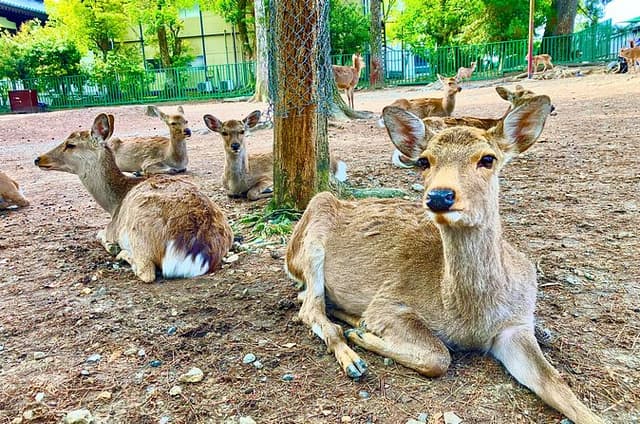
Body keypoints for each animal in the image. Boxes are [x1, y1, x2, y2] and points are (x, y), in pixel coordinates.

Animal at [34, 113, 233, 283]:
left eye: (70, 144)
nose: (38, 159)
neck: (114, 204)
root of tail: (198, 254)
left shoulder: (111, 228)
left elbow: (98, 233)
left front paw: (111, 246)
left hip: (139, 234)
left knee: (147, 272)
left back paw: (121, 253)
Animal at [204, 110, 348, 201]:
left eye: (242, 131)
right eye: (224, 132)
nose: (235, 145)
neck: (237, 183)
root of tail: (333, 160)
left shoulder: (268, 176)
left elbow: (251, 194)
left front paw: (270, 191)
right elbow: (230, 194)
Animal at [285, 96, 604, 424]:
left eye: (488, 159)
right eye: (424, 161)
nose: (440, 196)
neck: (472, 317)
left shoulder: (515, 326)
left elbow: (557, 384)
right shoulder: (387, 302)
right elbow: (439, 356)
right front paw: (364, 334)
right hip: (312, 235)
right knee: (310, 307)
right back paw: (353, 356)